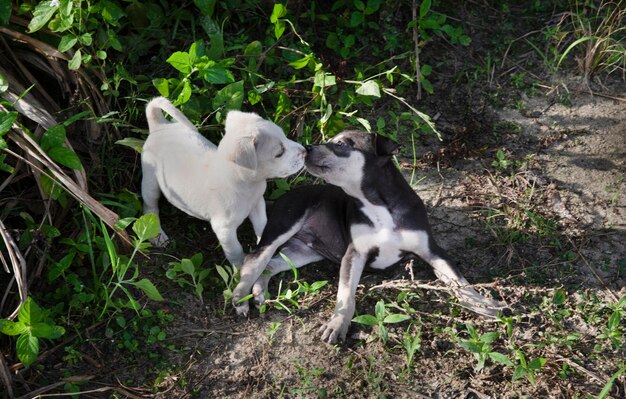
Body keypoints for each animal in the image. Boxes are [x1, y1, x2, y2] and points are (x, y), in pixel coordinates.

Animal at [142, 96, 308, 266]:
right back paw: (157, 235)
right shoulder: (225, 230)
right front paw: (240, 268)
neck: (246, 184)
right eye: (279, 153)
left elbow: (263, 225)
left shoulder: (257, 204)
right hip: (150, 184)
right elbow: (235, 251)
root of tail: (159, 126)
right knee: (150, 208)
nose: (305, 152)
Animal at [233, 131, 502, 344]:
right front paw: (337, 325)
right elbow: (345, 295)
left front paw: (484, 305)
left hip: (303, 252)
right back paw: (241, 297)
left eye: (341, 144)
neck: (376, 204)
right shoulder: (355, 253)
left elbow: (459, 281)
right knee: (255, 258)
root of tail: (281, 198)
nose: (306, 147)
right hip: (285, 224)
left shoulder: (431, 250)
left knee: (271, 264)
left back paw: (259, 292)